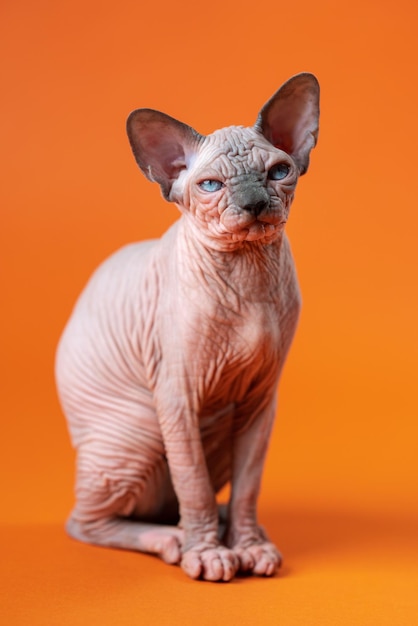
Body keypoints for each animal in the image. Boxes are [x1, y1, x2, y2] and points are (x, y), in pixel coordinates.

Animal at [55, 73, 320, 580]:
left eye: (278, 173)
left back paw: (222, 527)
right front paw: (208, 554)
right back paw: (174, 539)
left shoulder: (261, 399)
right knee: (86, 521)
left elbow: (249, 487)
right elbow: (193, 484)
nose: (254, 203)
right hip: (139, 430)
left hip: (215, 427)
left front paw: (248, 545)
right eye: (211, 185)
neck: (248, 275)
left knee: (179, 502)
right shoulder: (178, 395)